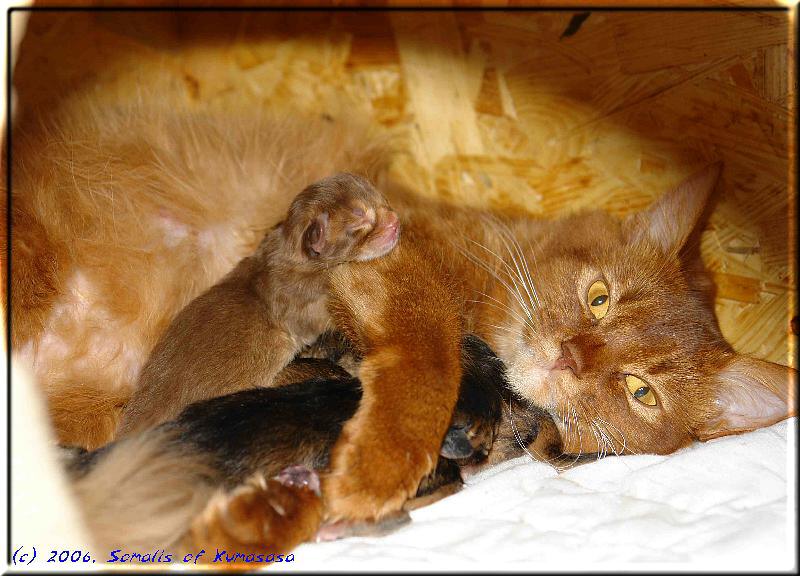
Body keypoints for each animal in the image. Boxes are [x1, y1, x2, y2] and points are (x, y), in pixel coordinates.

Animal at [9, 99, 796, 536]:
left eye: (640, 391)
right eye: (598, 298)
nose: (569, 356)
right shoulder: (395, 258)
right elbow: (428, 363)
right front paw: (379, 468)